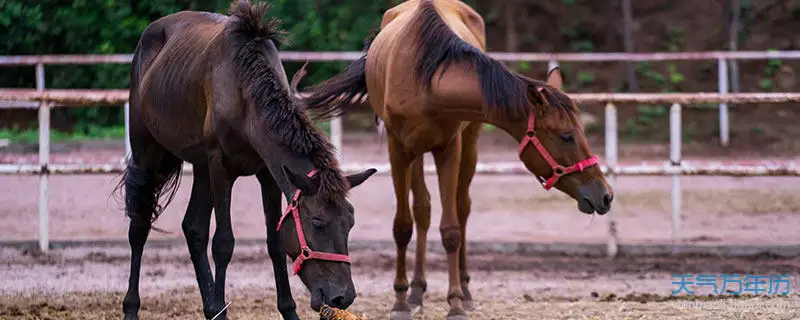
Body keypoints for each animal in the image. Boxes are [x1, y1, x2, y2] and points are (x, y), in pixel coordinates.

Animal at [117, 1, 376, 318]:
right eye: (317, 222)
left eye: (350, 222)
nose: (342, 297)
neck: (244, 92)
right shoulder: (220, 167)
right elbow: (223, 243)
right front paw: (221, 306)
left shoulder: (269, 173)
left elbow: (275, 242)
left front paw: (287, 310)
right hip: (148, 151)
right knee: (140, 225)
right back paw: (133, 306)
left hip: (200, 166)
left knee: (193, 228)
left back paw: (209, 308)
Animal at [304, 0, 616, 318]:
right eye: (567, 136)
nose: (604, 195)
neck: (425, 82)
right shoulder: (398, 150)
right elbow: (403, 226)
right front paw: (401, 301)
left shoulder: (449, 148)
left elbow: (451, 229)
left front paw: (455, 302)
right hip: (416, 154)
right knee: (422, 210)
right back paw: (416, 292)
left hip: (469, 143)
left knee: (461, 208)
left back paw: (464, 291)